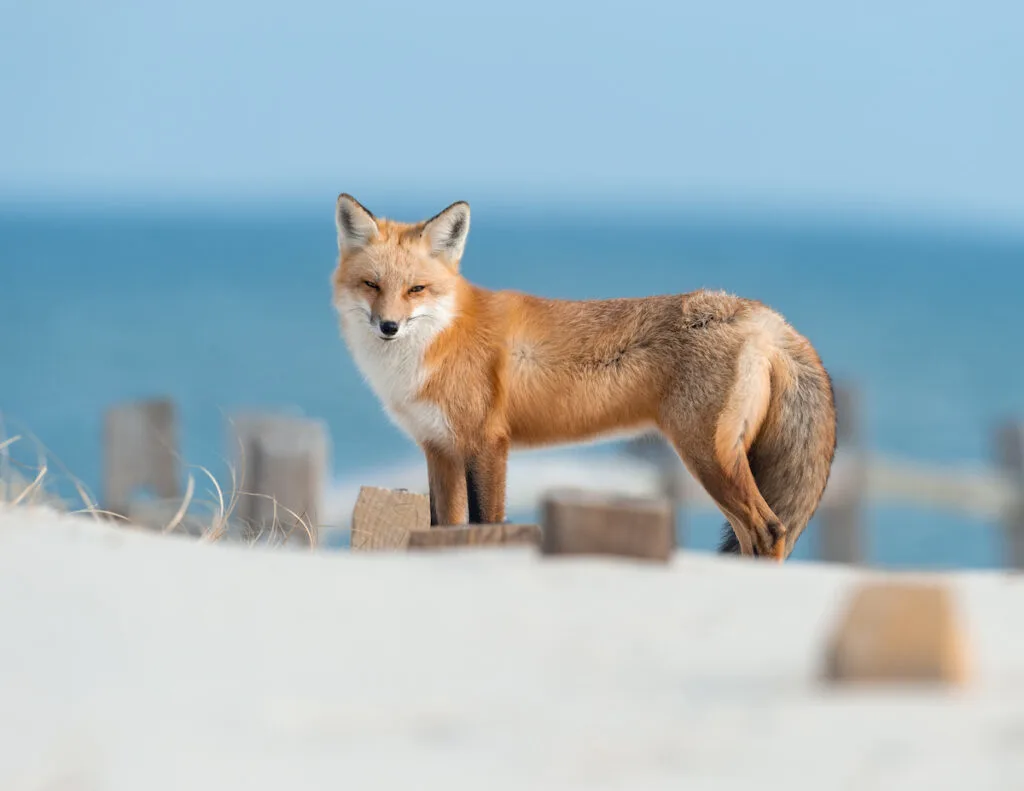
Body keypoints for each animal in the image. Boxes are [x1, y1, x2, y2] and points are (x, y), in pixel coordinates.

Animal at [331, 193, 835, 557]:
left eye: (416, 289)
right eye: (371, 285)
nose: (388, 326)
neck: (441, 337)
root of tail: (762, 315)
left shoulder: (485, 445)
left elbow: (484, 523)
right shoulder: (439, 450)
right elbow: (442, 527)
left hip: (709, 457)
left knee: (769, 530)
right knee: (757, 534)